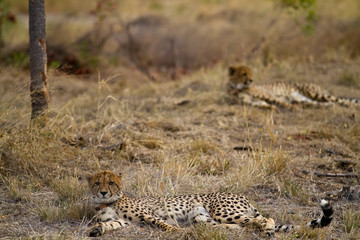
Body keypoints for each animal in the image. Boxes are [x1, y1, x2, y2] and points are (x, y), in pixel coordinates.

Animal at [88, 171, 334, 236]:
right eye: (97, 183)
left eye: (111, 183)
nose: (102, 192)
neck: (108, 203)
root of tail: (244, 196)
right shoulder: (126, 222)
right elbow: (110, 224)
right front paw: (96, 230)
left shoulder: (148, 214)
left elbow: (162, 223)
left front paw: (175, 231)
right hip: (203, 218)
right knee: (238, 225)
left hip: (222, 211)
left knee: (265, 218)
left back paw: (268, 231)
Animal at [228, 64, 360, 108]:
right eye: (243, 74)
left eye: (251, 74)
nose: (251, 80)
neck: (237, 88)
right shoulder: (252, 102)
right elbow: (264, 105)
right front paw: (271, 108)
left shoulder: (266, 95)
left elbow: (279, 101)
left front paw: (291, 108)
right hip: (300, 99)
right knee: (319, 103)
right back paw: (329, 105)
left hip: (313, 93)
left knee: (339, 99)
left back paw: (350, 105)